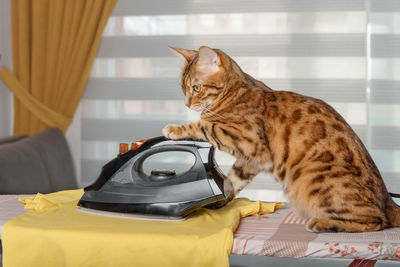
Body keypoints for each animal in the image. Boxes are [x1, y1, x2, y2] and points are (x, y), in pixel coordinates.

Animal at [162, 46, 400, 234]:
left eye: (197, 87)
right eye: (183, 88)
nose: (186, 104)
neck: (235, 93)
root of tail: (389, 201)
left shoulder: (247, 140)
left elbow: (205, 126)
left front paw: (174, 129)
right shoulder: (251, 160)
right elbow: (233, 180)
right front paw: (221, 200)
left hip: (313, 178)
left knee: (376, 221)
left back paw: (324, 223)